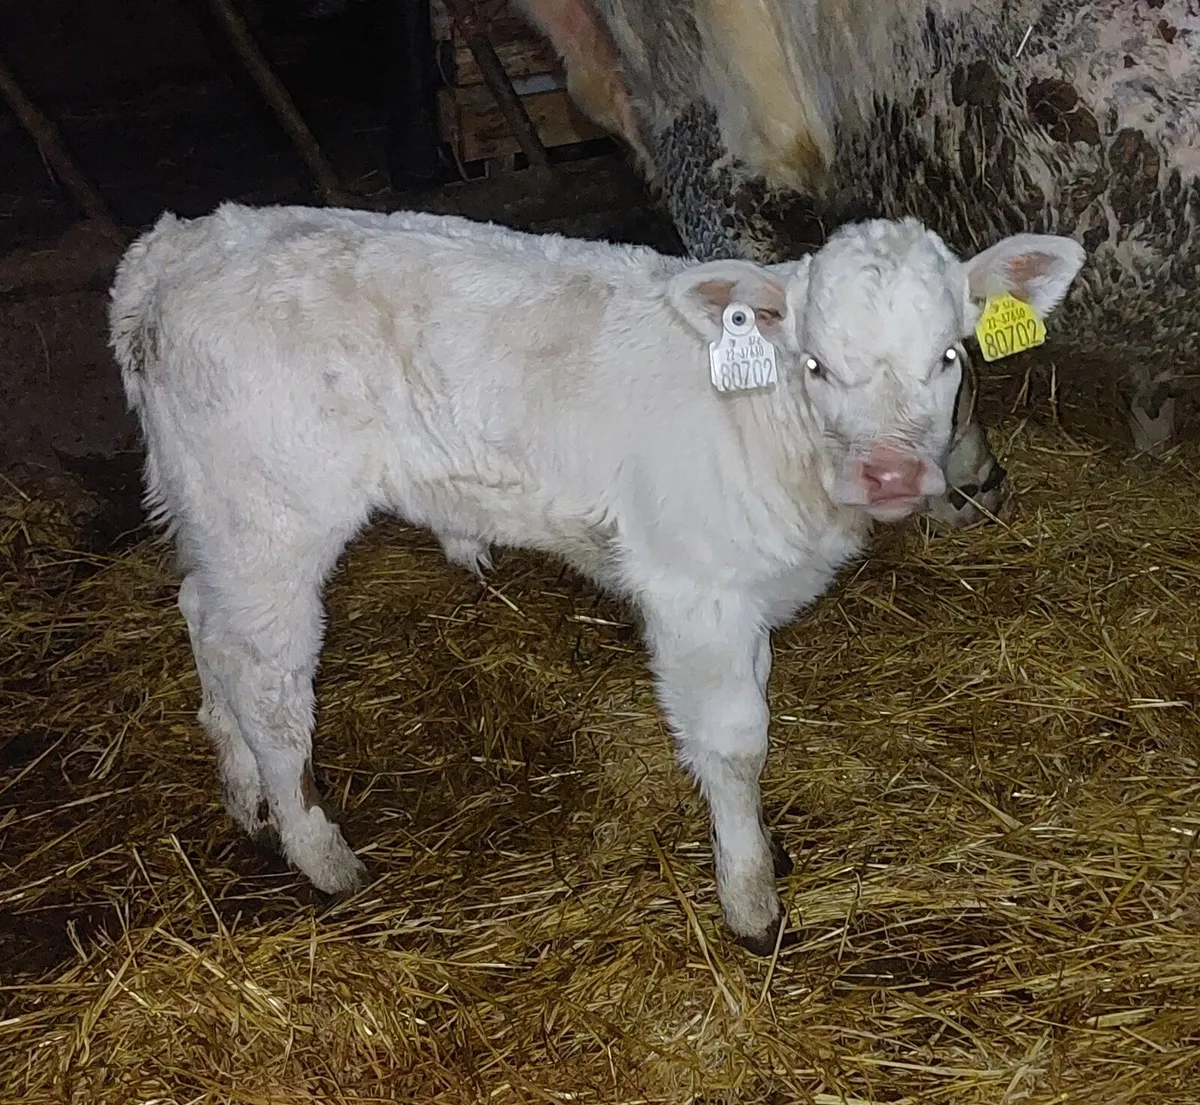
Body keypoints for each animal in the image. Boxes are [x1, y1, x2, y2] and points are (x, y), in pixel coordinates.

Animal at [108, 202, 1083, 952]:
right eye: (815, 363)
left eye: (950, 357)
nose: (888, 473)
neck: (765, 422)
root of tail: (179, 247)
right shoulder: (694, 592)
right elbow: (736, 744)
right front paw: (750, 898)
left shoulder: (746, 596)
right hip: (274, 514)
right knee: (271, 685)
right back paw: (320, 852)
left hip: (217, 513)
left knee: (205, 619)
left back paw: (242, 791)